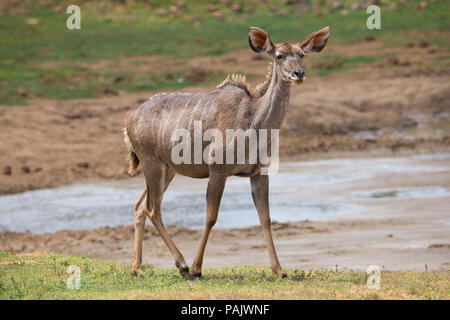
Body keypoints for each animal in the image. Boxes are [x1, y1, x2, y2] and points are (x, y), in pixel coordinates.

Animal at [124, 26, 330, 278]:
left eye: (302, 54)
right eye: (279, 55)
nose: (298, 73)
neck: (253, 121)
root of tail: (130, 118)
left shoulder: (258, 172)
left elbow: (265, 217)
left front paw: (279, 269)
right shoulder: (218, 169)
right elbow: (211, 217)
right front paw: (197, 268)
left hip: (167, 169)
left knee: (140, 205)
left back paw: (137, 268)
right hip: (151, 162)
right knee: (153, 208)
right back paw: (182, 266)